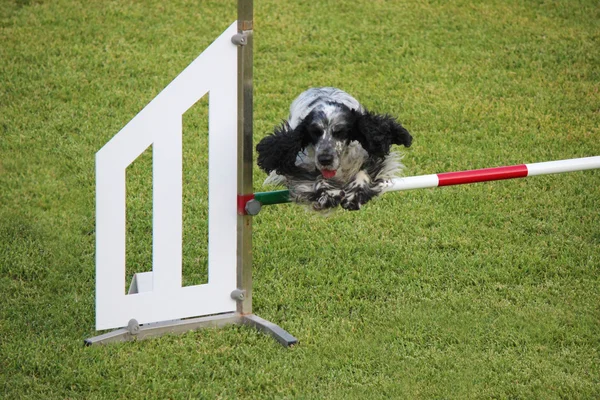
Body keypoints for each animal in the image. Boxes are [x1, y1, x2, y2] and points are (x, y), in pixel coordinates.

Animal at [253, 88, 412, 212]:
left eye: (340, 132)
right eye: (314, 132)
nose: (325, 159)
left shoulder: (371, 153)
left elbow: (364, 172)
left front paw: (354, 195)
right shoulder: (299, 166)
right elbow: (315, 179)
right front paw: (330, 195)